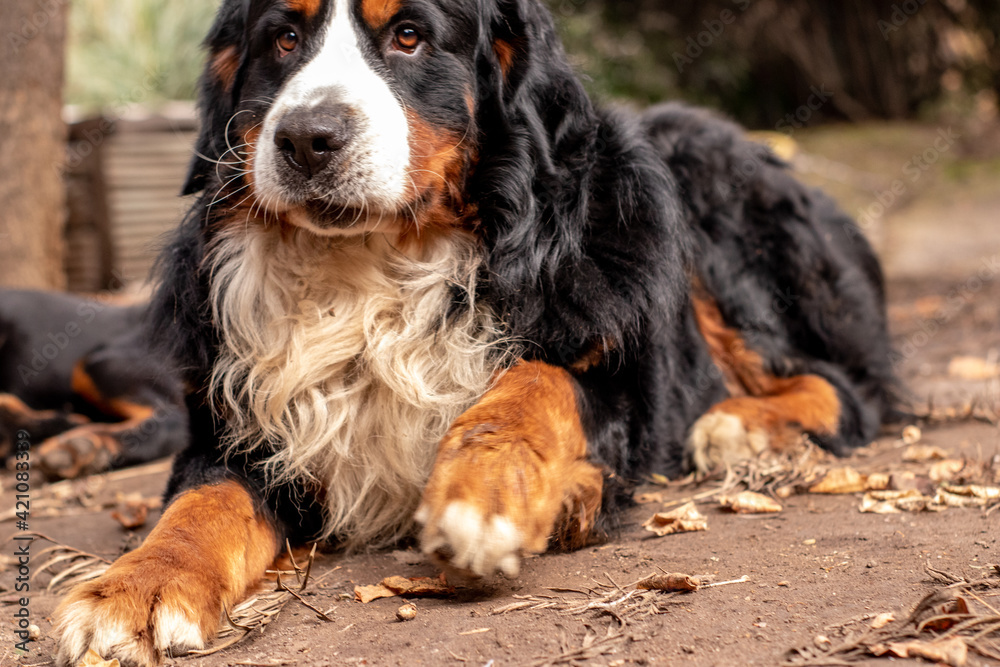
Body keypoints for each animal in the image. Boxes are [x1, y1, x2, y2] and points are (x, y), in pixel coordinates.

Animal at [52, 0, 900, 664]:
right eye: (283, 40)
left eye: (409, 35)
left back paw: (740, 426)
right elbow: (200, 504)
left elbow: (536, 382)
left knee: (842, 384)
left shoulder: (619, 382)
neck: (372, 270)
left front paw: (489, 491)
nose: (305, 137)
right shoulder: (239, 420)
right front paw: (133, 587)